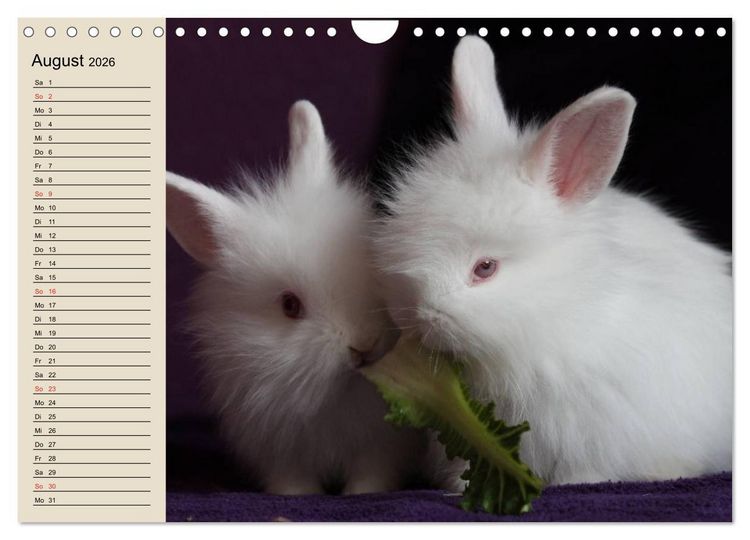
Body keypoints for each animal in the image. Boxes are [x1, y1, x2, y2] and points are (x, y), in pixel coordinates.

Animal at [166, 100, 424, 495]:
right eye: (290, 306)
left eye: (372, 272)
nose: (363, 345)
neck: (333, 396)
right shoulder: (278, 449)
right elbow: (293, 481)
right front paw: (299, 495)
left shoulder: (381, 446)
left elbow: (371, 475)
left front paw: (362, 493)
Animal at [373, 36, 732, 487]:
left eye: (485, 268)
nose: (421, 318)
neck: (552, 316)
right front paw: (457, 488)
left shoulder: (595, 427)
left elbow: (588, 466)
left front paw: (579, 482)